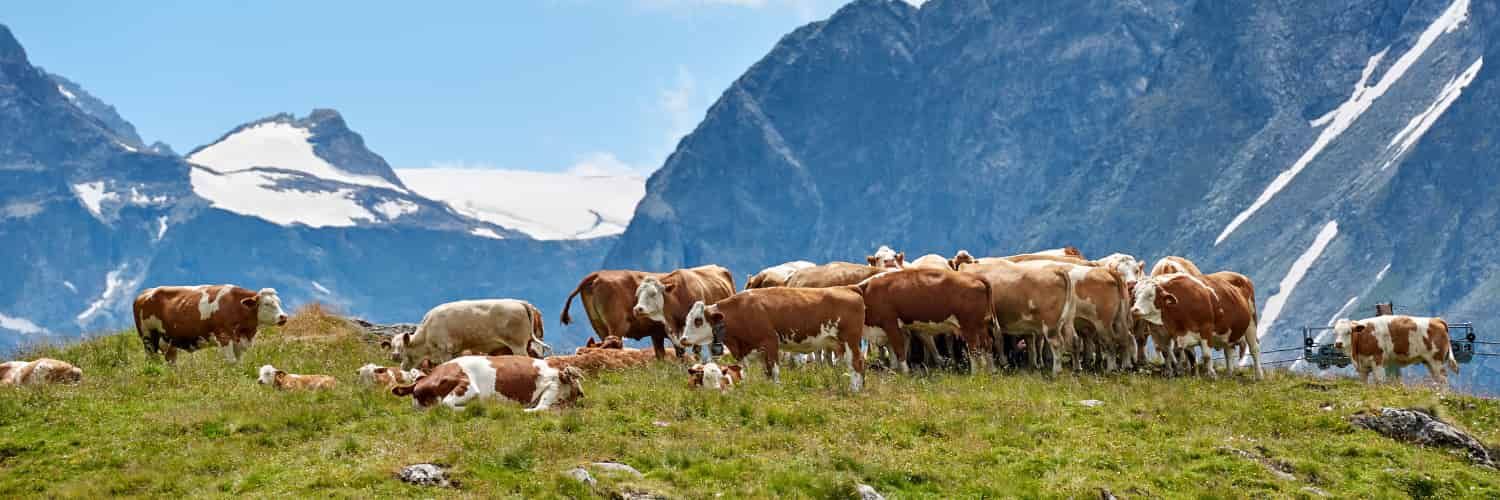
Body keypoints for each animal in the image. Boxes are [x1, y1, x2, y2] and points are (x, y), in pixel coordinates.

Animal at [133, 285, 289, 364]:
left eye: (279, 302)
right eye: (267, 303)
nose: (283, 317)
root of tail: (144, 293)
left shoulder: (239, 341)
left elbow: (239, 362)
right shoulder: (224, 336)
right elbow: (231, 361)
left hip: (168, 340)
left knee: (171, 359)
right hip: (148, 336)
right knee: (152, 359)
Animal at [384, 299, 551, 371]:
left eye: (402, 349)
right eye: (391, 346)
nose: (395, 358)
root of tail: (521, 303)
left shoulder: (445, 350)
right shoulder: (456, 350)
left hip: (518, 345)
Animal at [679, 286, 868, 391]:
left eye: (698, 320)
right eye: (687, 318)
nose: (683, 339)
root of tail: (848, 288)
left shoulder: (770, 343)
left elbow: (774, 371)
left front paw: (775, 388)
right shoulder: (753, 351)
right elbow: (761, 371)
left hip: (851, 340)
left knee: (856, 363)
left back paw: (854, 389)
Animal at [858, 268, 995, 373]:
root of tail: (974, 277)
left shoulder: (890, 323)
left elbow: (899, 350)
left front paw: (905, 373)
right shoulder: (892, 329)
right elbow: (893, 351)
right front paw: (894, 371)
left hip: (968, 326)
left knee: (974, 349)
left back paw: (975, 374)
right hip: (981, 325)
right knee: (987, 345)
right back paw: (991, 371)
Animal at [1131, 272, 1262, 378]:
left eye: (1150, 295)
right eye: (1136, 296)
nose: (1134, 310)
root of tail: (1242, 277)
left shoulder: (1206, 329)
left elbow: (1206, 355)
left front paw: (1211, 375)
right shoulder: (1171, 334)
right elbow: (1184, 356)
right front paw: (1191, 376)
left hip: (1251, 323)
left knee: (1254, 349)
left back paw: (1258, 376)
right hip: (1228, 331)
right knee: (1228, 351)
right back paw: (1229, 375)